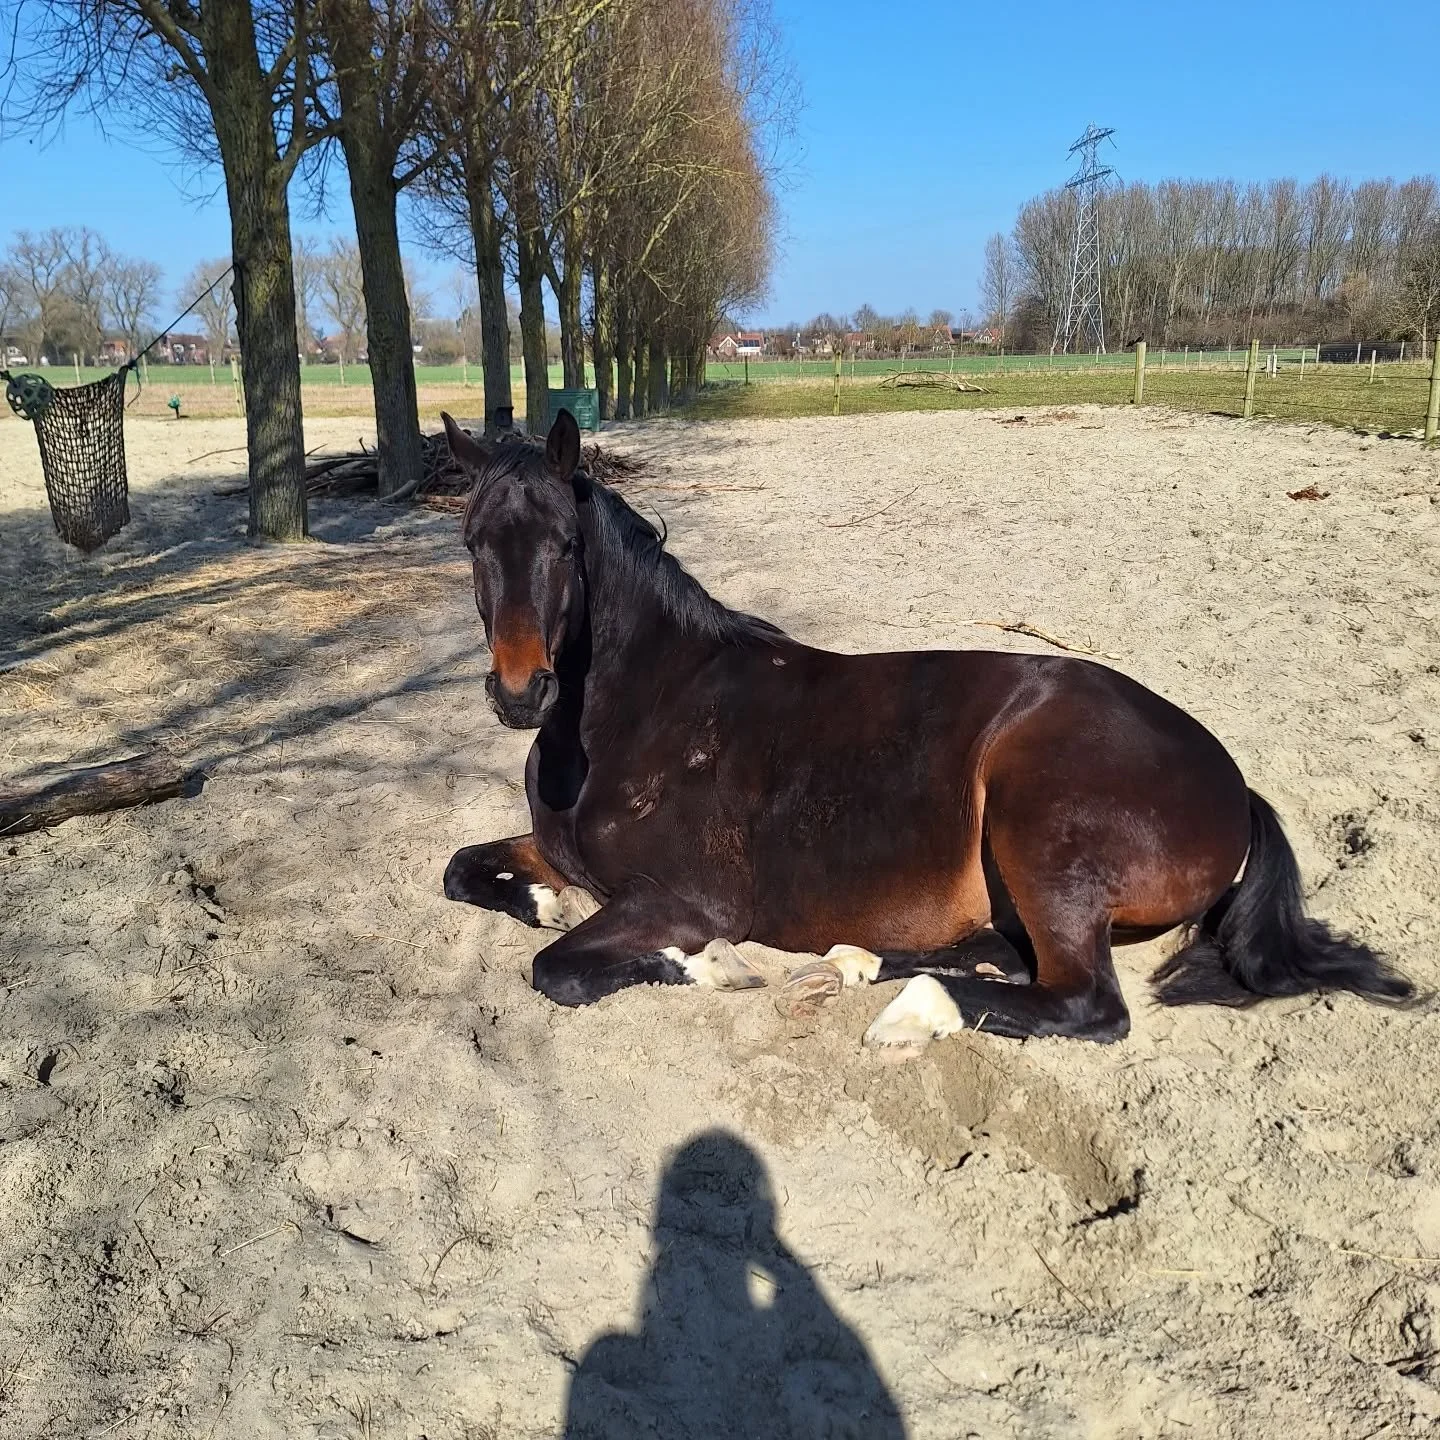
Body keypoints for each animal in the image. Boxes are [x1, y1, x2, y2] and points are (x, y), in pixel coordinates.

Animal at [439, 409, 1412, 1047]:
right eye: (471, 540)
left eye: (566, 546)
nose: (521, 693)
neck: (642, 713)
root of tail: (1234, 783)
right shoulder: (554, 850)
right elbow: (462, 871)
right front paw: (545, 898)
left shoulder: (683, 901)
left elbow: (560, 968)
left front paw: (716, 966)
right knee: (998, 956)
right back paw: (853, 965)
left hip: (1041, 826)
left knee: (1083, 1003)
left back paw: (909, 1009)